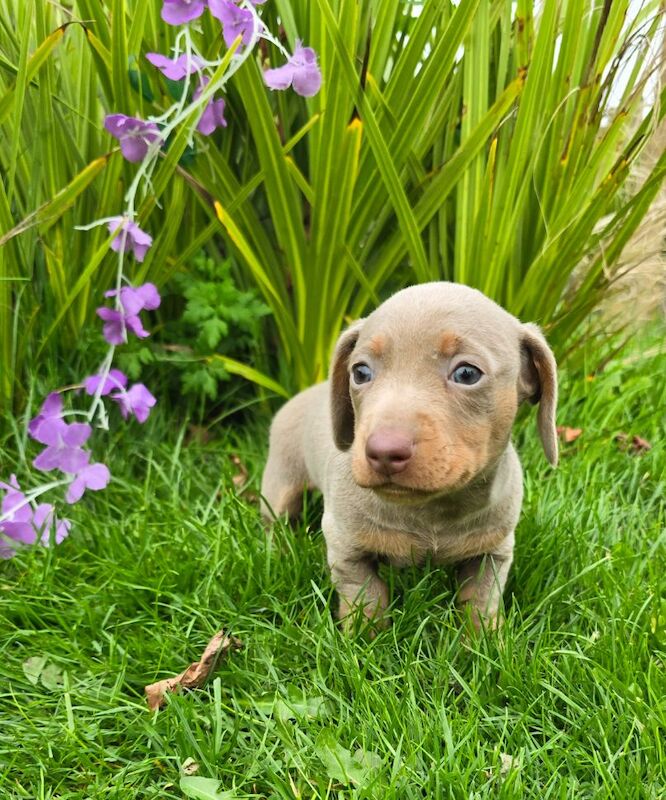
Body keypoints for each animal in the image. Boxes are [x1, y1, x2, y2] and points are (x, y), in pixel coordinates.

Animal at [260, 282, 556, 632]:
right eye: (360, 372)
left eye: (467, 374)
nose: (383, 452)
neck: (431, 510)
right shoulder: (345, 546)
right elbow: (365, 597)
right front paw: (365, 638)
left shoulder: (493, 552)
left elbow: (481, 601)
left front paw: (483, 640)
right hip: (279, 483)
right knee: (275, 523)